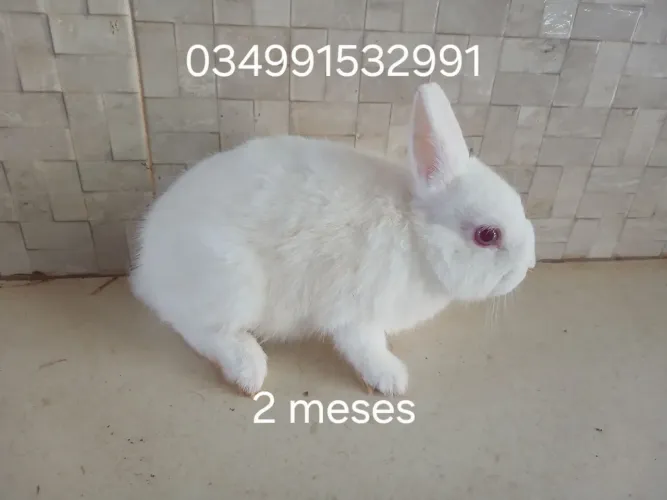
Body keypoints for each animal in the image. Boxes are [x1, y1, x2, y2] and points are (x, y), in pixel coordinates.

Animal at [129, 82, 536, 397]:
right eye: (487, 235)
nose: (527, 267)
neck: (417, 237)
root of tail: (147, 265)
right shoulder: (357, 312)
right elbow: (364, 346)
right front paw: (391, 379)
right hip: (233, 283)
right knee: (197, 328)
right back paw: (249, 370)